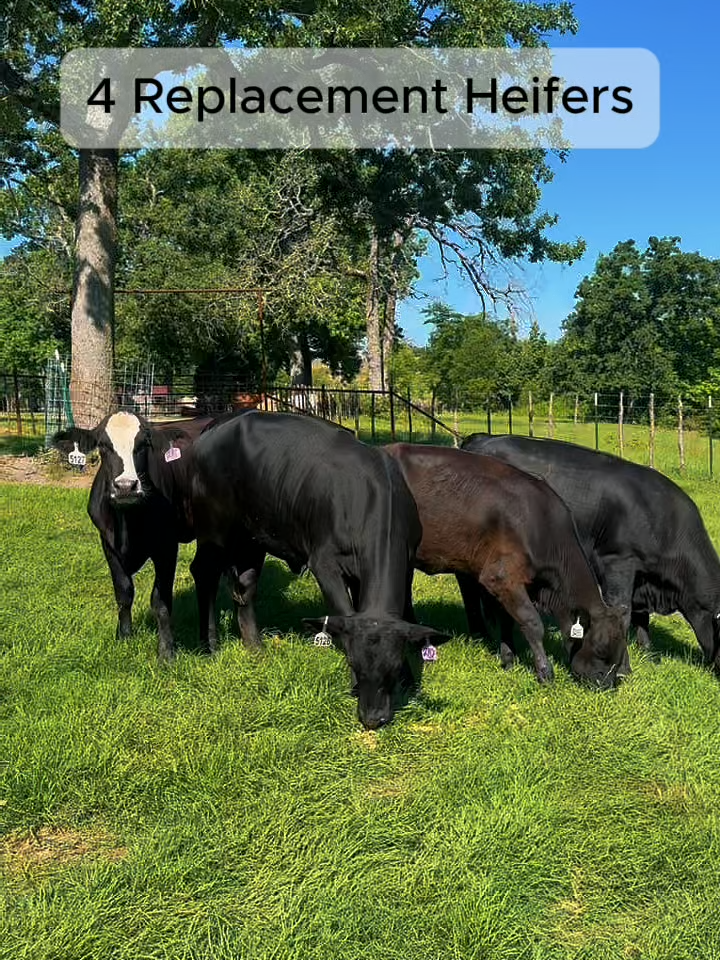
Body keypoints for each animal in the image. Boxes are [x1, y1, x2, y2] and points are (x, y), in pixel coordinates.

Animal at [52, 412, 263, 662]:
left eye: (144, 444)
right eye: (103, 445)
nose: (126, 486)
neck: (128, 523)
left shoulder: (167, 547)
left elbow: (160, 601)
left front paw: (166, 652)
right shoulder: (107, 544)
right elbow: (123, 592)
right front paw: (124, 637)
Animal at [185, 411, 448, 729]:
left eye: (394, 667)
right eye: (353, 662)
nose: (373, 718)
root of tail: (220, 422)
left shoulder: (403, 561)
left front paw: (410, 681)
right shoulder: (324, 564)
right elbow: (344, 613)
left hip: (252, 537)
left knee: (244, 588)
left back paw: (256, 648)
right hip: (213, 530)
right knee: (203, 573)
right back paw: (208, 645)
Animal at [383, 443, 630, 688]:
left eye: (620, 653)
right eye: (600, 649)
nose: (606, 684)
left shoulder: (506, 585)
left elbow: (507, 620)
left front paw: (509, 658)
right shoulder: (501, 577)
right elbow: (532, 623)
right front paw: (545, 672)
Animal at [462, 434, 720, 671]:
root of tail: (481, 438)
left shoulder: (641, 576)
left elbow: (641, 616)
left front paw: (649, 654)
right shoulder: (618, 561)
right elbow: (624, 612)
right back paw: (480, 632)